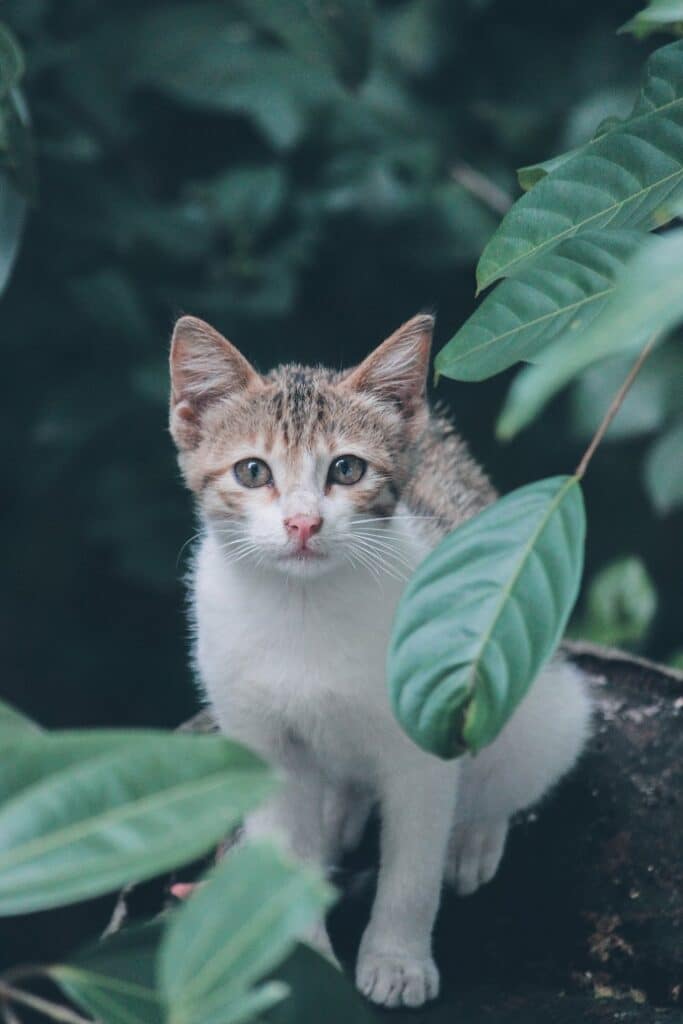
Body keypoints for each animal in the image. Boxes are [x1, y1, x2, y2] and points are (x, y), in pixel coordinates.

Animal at [169, 311, 593, 1007]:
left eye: (346, 469)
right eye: (253, 472)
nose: (303, 524)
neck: (304, 608)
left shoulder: (425, 739)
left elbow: (412, 865)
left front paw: (397, 959)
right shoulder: (258, 738)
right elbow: (282, 845)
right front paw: (307, 959)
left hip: (547, 699)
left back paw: (473, 834)